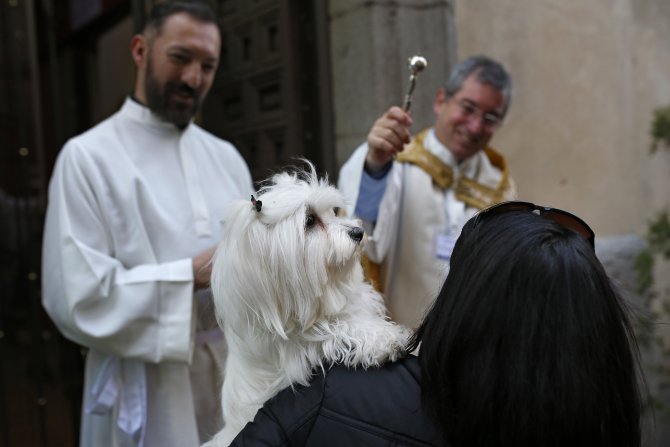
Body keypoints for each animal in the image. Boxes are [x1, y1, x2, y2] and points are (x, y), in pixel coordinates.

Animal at [205, 163, 412, 446]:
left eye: (334, 211)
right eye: (310, 221)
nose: (358, 232)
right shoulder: (296, 348)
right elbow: (334, 330)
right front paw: (385, 339)